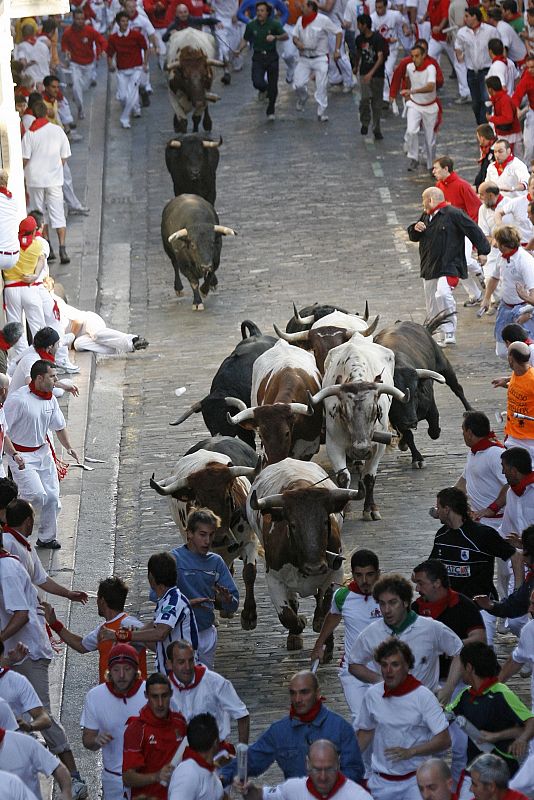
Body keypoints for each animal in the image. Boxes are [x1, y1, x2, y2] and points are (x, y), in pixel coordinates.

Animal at [151, 438, 262, 632]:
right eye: (199, 501)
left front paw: (249, 616)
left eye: (228, 497)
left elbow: (249, 572)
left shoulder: (250, 541)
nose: (218, 538)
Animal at [248, 460, 360, 652]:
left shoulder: (334, 573)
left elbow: (325, 613)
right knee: (292, 601)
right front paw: (299, 624)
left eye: (325, 521)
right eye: (292, 524)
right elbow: (287, 616)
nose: (315, 567)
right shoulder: (273, 579)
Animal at [310, 336, 410, 520]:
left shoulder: (378, 446)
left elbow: (369, 477)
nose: (361, 450)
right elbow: (343, 477)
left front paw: (370, 509)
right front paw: (344, 508)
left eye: (376, 411)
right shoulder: (334, 444)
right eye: (343, 412)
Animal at [376, 310, 474, 466]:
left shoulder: (431, 407)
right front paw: (417, 457)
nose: (411, 421)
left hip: (444, 365)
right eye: (394, 399)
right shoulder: (397, 419)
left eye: (416, 393)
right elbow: (408, 435)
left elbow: (434, 429)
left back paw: (470, 410)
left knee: (457, 388)